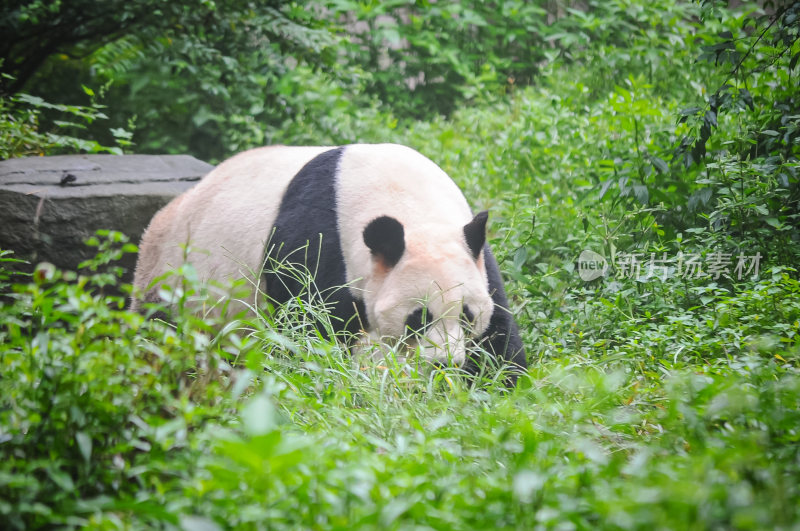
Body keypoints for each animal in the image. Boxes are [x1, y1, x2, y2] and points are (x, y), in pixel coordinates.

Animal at [131, 143, 528, 380]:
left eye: (467, 315)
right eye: (418, 318)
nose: (443, 363)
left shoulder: (471, 248)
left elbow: (498, 332)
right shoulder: (317, 241)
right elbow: (307, 327)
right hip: (171, 279)